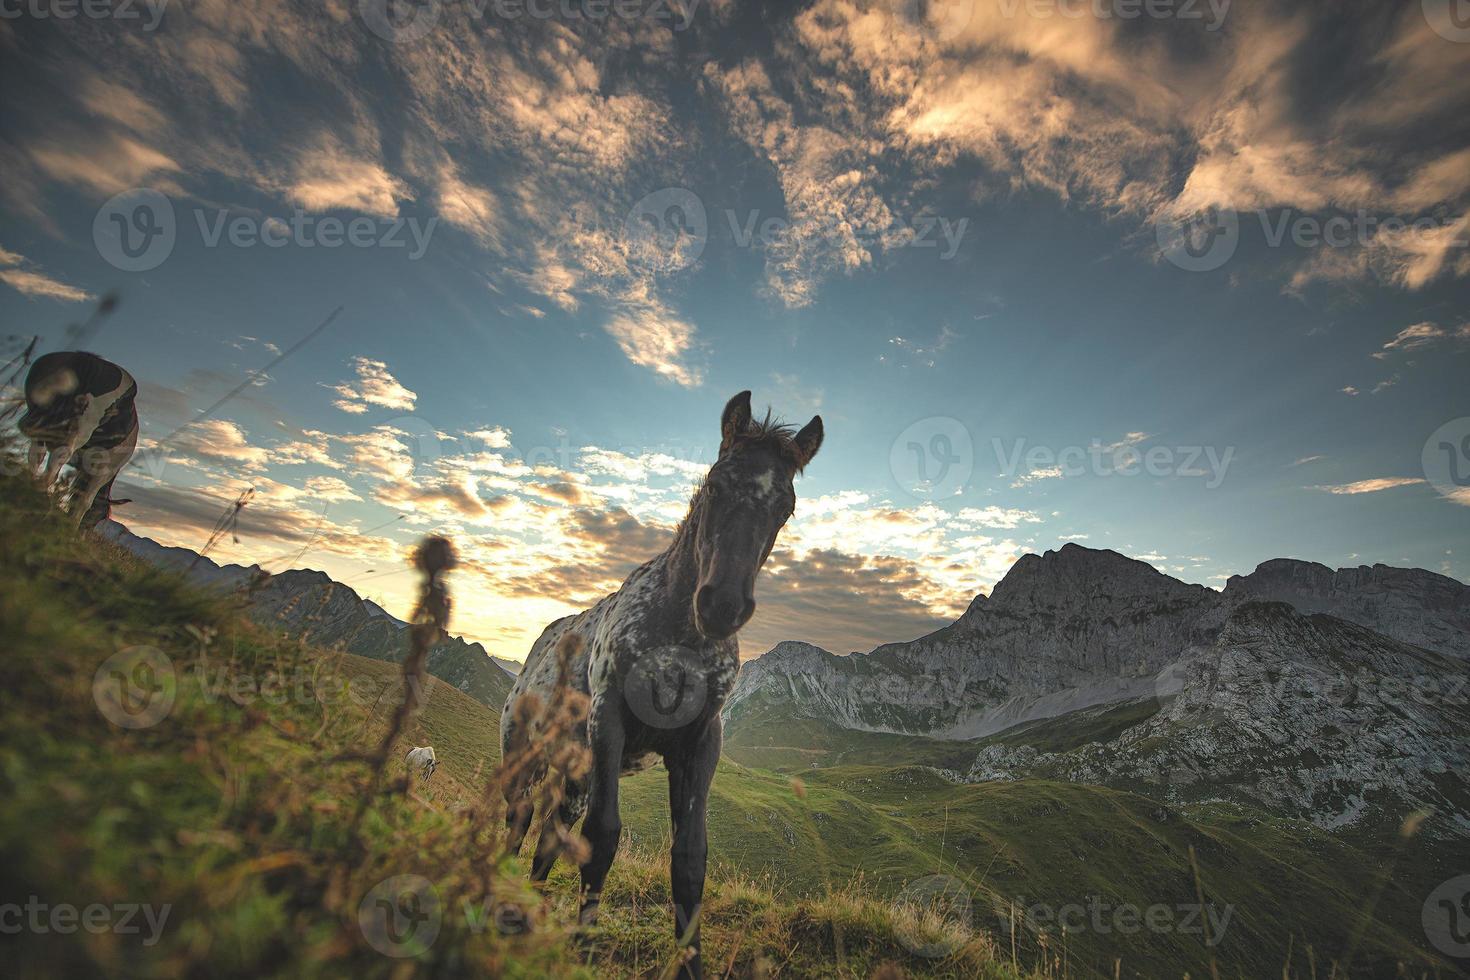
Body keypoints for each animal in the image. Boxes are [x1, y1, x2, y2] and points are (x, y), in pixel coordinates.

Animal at [499, 390, 823, 980]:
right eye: (715, 483)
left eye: (785, 507)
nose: (721, 607)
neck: (677, 639)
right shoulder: (609, 722)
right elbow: (603, 837)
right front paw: (584, 947)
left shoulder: (699, 744)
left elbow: (690, 859)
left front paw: (691, 963)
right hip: (525, 753)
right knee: (520, 814)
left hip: (573, 776)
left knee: (549, 833)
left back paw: (524, 905)